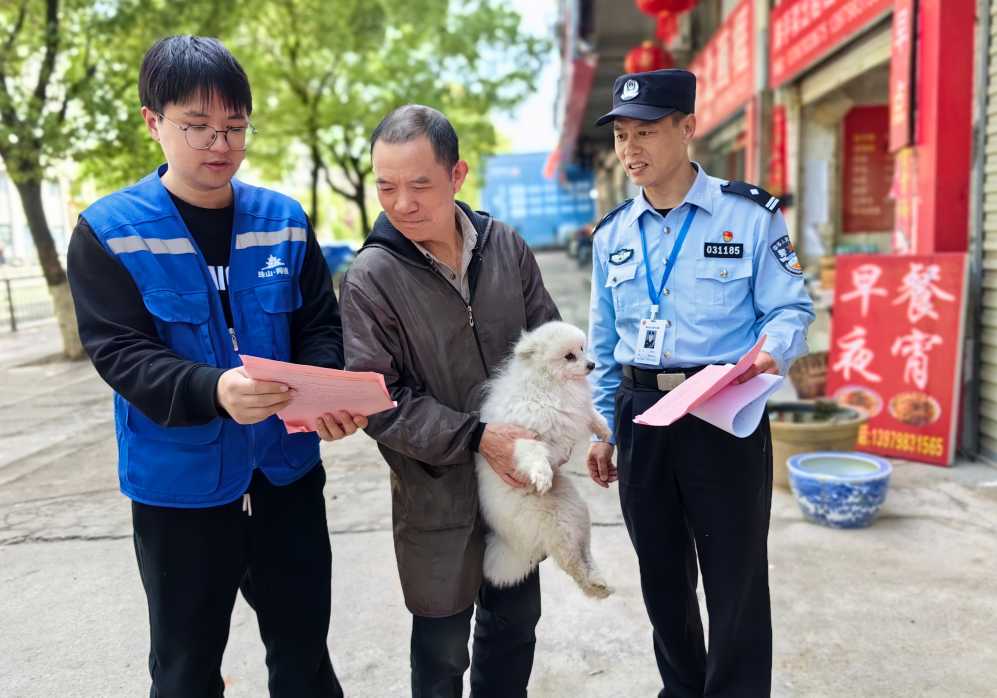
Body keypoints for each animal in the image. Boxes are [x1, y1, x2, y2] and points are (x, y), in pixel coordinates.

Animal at [475, 321, 613, 598]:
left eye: (583, 349)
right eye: (569, 356)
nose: (591, 365)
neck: (549, 385)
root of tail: (511, 543)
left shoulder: (576, 408)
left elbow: (591, 413)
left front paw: (604, 430)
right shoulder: (525, 436)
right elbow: (535, 454)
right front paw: (542, 477)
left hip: (576, 514)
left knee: (585, 552)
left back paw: (599, 582)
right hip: (557, 530)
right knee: (573, 564)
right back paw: (594, 587)